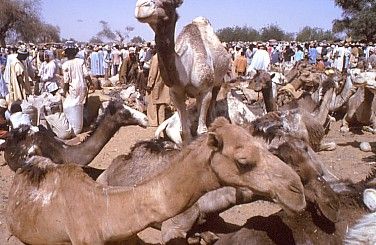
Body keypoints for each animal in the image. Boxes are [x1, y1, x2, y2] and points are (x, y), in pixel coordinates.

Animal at [134, 0, 231, 142]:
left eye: (167, 3)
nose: (140, 6)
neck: (186, 65)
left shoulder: (204, 90)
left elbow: (201, 131)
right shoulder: (175, 92)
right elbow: (184, 132)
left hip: (218, 82)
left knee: (213, 99)